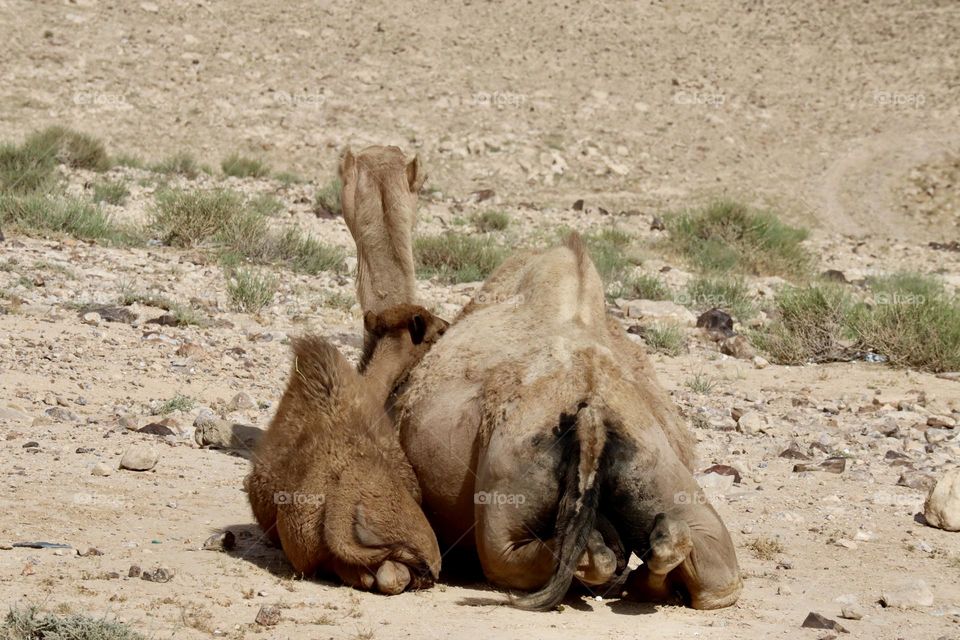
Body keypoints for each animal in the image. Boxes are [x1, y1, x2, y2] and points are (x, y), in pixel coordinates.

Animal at [338, 146, 742, 610]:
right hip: (659, 467)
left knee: (520, 554)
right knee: (709, 569)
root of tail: (593, 415)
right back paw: (651, 574)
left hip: (508, 478)